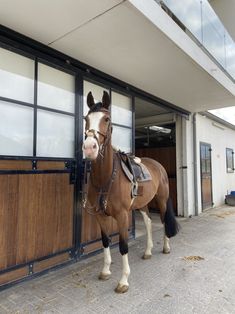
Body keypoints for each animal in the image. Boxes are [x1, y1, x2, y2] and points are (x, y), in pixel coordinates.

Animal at [81, 91, 179, 294]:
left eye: (107, 119)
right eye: (86, 119)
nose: (89, 148)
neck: (106, 178)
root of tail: (158, 166)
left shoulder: (122, 215)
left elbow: (123, 246)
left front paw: (123, 281)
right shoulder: (100, 216)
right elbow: (105, 241)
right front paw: (105, 271)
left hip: (162, 200)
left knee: (163, 220)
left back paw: (166, 247)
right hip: (143, 204)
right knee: (149, 223)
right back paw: (148, 252)